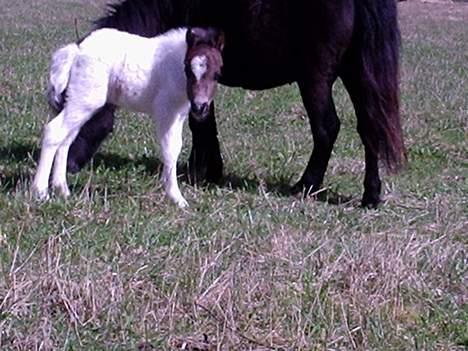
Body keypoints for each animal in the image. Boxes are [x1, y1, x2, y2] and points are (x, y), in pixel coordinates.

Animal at [31, 28, 225, 209]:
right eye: (187, 69)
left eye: (217, 73)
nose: (200, 107)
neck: (173, 68)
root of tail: (76, 50)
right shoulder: (166, 111)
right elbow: (170, 149)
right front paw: (176, 197)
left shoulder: (179, 114)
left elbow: (176, 147)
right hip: (85, 100)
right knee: (54, 131)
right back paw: (40, 192)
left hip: (77, 102)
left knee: (65, 140)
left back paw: (62, 189)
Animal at [62, 0, 406, 209]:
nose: (68, 165)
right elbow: (204, 120)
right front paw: (207, 169)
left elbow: (199, 122)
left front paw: (201, 170)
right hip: (357, 73)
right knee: (370, 129)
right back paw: (370, 195)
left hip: (315, 79)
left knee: (327, 129)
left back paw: (306, 186)